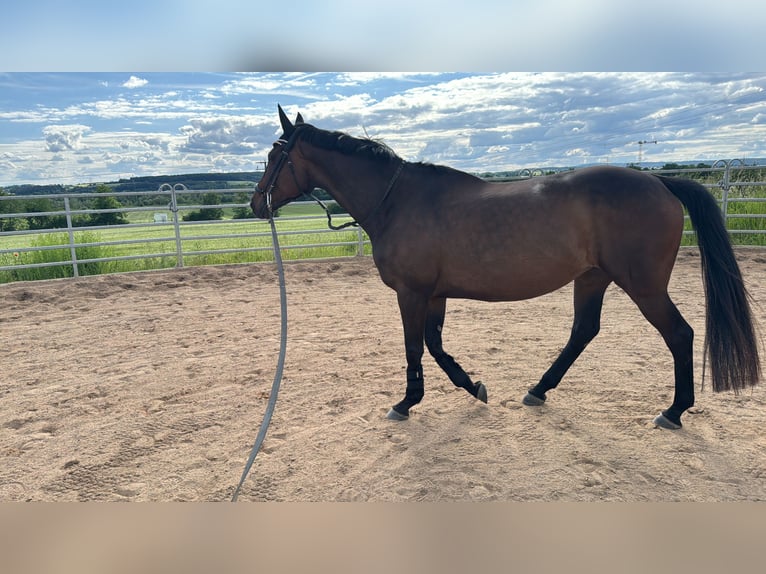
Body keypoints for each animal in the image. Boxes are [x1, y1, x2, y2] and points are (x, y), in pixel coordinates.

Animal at [251, 105, 761, 429]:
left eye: (275, 155)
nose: (257, 204)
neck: (397, 200)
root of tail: (659, 181)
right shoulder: (434, 295)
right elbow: (435, 347)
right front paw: (474, 387)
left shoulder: (412, 293)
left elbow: (415, 348)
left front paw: (406, 403)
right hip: (592, 278)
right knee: (584, 331)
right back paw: (538, 389)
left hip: (644, 286)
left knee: (679, 334)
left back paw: (673, 412)